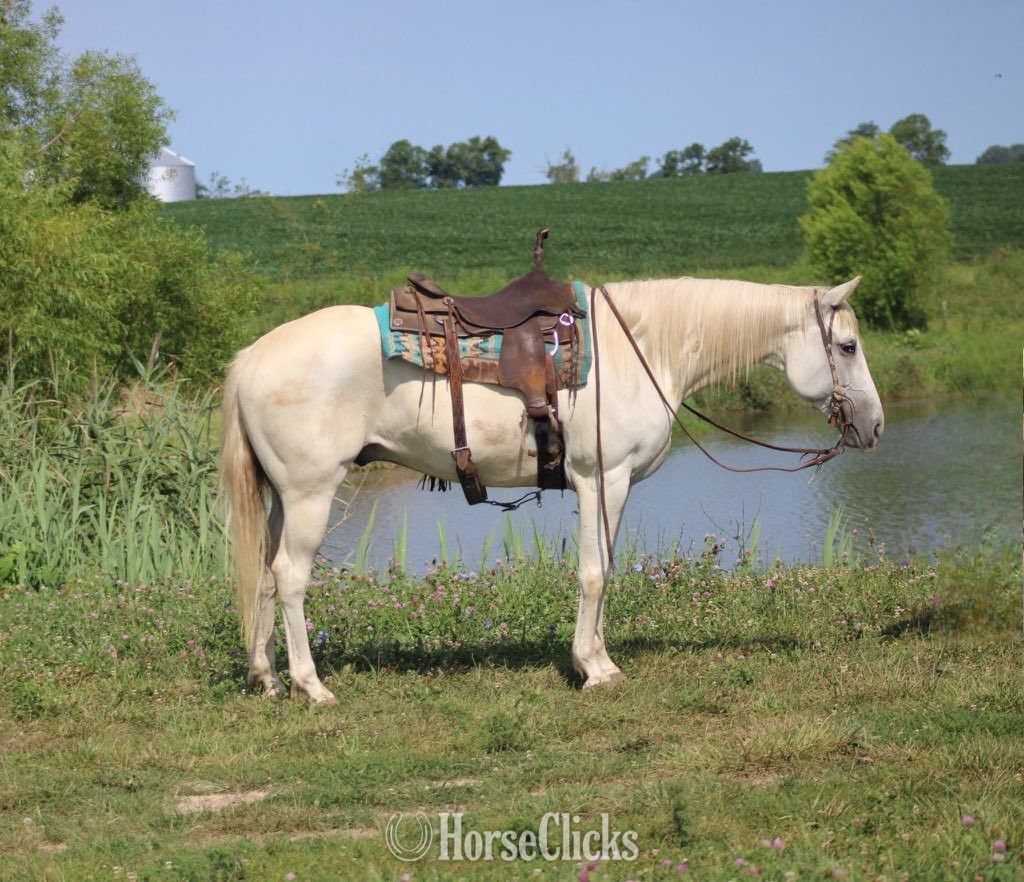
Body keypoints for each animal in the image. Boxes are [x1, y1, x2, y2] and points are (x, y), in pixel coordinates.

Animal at [220, 274, 883, 702]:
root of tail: (252, 356)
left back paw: (267, 678)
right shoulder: (603, 481)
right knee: (290, 577)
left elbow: (603, 569)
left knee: (263, 574)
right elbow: (596, 571)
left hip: (281, 498)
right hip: (310, 493)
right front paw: (594, 667)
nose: (875, 426)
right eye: (847, 346)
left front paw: (596, 659)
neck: (639, 350)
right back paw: (312, 686)